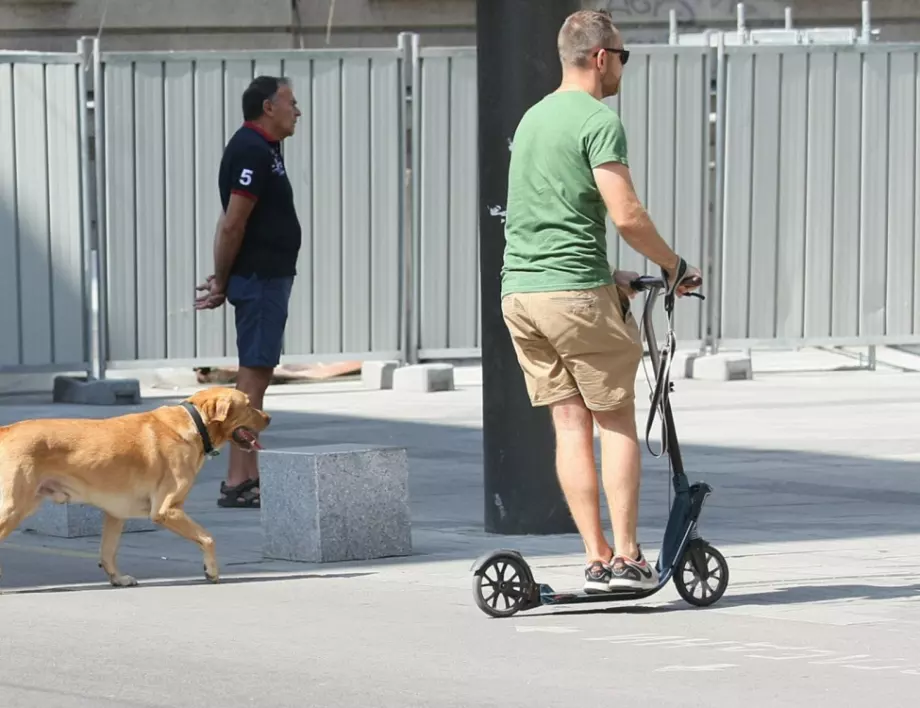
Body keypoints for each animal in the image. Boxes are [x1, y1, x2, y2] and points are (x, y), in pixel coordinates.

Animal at [0, 388, 272, 588]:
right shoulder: (166, 510)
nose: (269, 418)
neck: (196, 425)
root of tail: (5, 430)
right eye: (249, 405)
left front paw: (117, 579)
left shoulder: (115, 514)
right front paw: (212, 570)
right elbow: (207, 538)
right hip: (13, 508)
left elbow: (107, 552)